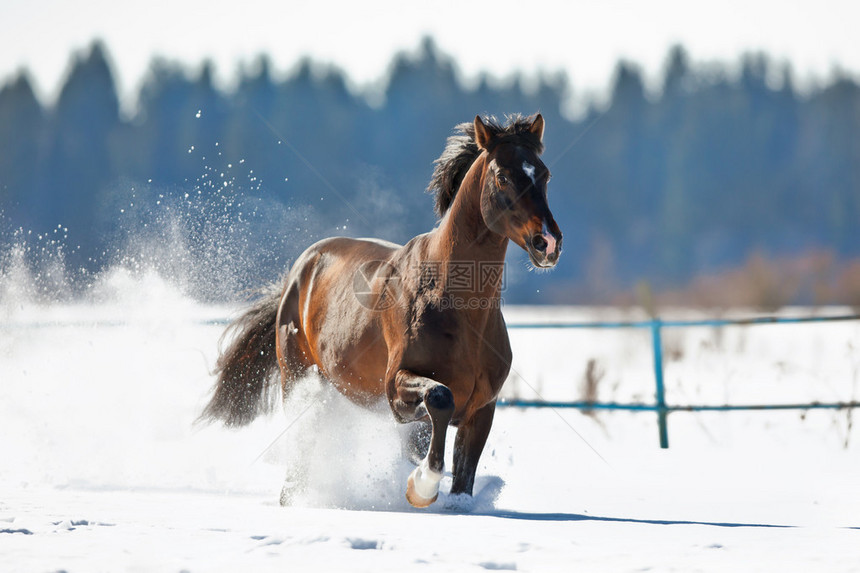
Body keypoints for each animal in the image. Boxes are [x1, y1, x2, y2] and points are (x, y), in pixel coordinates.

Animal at [202, 114, 564, 508]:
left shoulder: (481, 410)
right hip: (297, 379)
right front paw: (420, 487)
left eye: (544, 174)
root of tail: (297, 273)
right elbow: (439, 399)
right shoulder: (396, 389)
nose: (548, 243)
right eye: (502, 177)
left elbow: (462, 477)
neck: (461, 311)